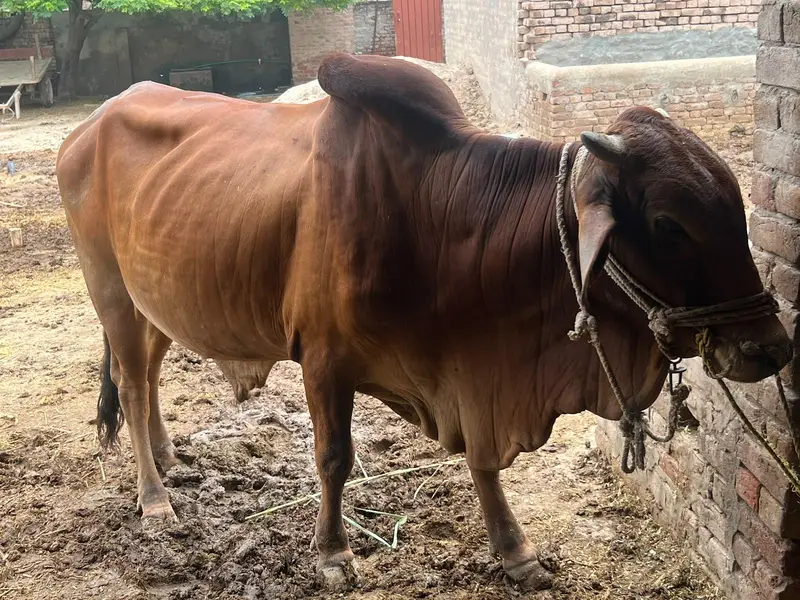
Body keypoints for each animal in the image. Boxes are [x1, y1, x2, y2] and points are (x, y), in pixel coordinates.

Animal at [56, 53, 791, 590]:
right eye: (669, 225)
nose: (770, 347)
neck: (436, 213)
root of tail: (92, 122)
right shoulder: (323, 360)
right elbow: (333, 458)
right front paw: (332, 554)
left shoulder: (467, 373)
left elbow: (483, 463)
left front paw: (515, 551)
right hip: (109, 290)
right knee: (132, 383)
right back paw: (155, 498)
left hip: (153, 299)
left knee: (148, 376)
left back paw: (170, 460)